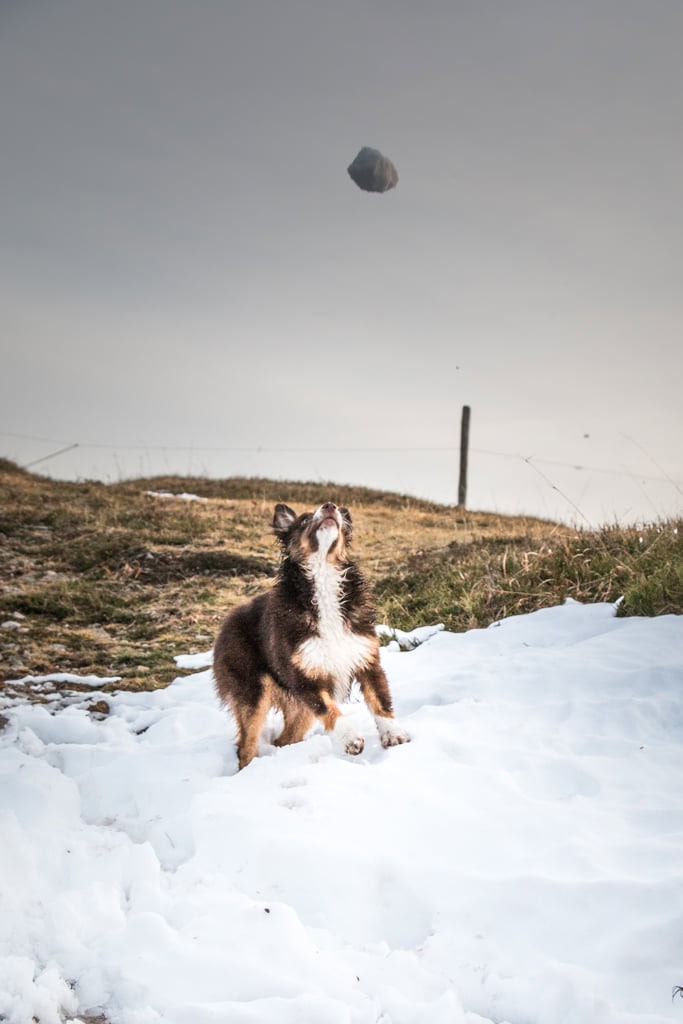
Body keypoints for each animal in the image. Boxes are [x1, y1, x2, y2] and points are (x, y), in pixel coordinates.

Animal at [211, 503, 411, 770]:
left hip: (298, 708)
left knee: (283, 740)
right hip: (253, 693)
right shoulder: (305, 679)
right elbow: (330, 710)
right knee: (246, 747)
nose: (330, 506)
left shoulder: (367, 660)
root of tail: (226, 622)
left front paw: (394, 734)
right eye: (305, 520)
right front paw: (350, 739)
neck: (324, 577)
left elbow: (380, 700)